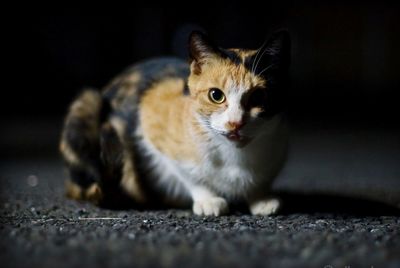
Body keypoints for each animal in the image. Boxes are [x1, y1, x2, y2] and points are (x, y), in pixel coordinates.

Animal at [59, 30, 290, 217]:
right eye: (216, 95)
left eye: (258, 97)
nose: (235, 123)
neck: (235, 156)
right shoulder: (151, 118)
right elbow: (187, 174)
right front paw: (208, 200)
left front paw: (261, 198)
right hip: (88, 103)